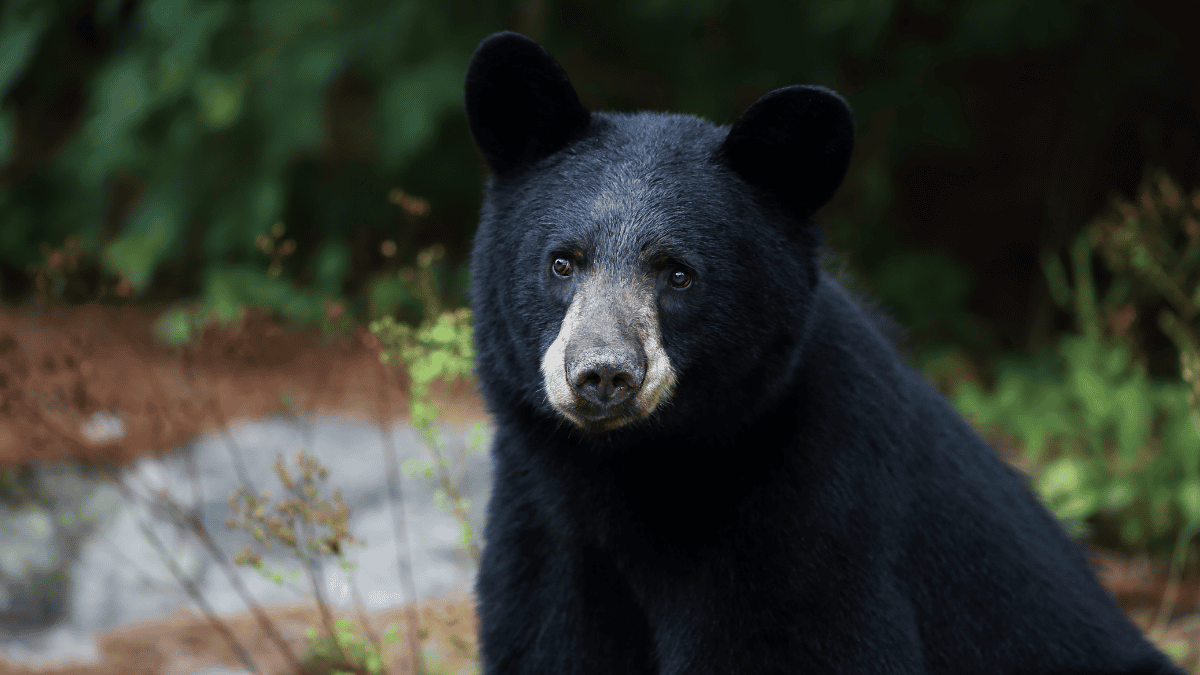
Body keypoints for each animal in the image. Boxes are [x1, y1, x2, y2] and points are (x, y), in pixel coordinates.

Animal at [463, 31, 1183, 675]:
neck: (638, 473)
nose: (603, 374)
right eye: (562, 262)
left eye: (679, 275)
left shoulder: (810, 519)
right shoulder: (546, 539)